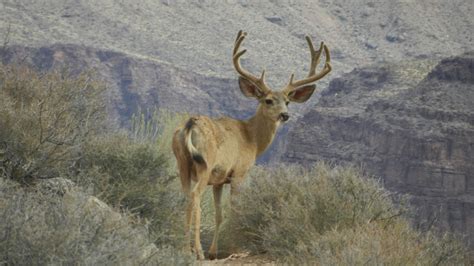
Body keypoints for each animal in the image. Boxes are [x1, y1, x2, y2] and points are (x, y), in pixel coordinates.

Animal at [172, 30, 332, 260]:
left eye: (287, 101)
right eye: (268, 100)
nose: (285, 115)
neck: (251, 139)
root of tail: (190, 123)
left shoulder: (219, 179)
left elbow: (220, 214)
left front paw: (214, 252)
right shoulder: (239, 172)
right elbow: (235, 210)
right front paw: (234, 249)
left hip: (183, 163)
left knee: (185, 197)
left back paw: (185, 248)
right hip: (204, 165)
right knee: (195, 198)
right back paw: (196, 251)